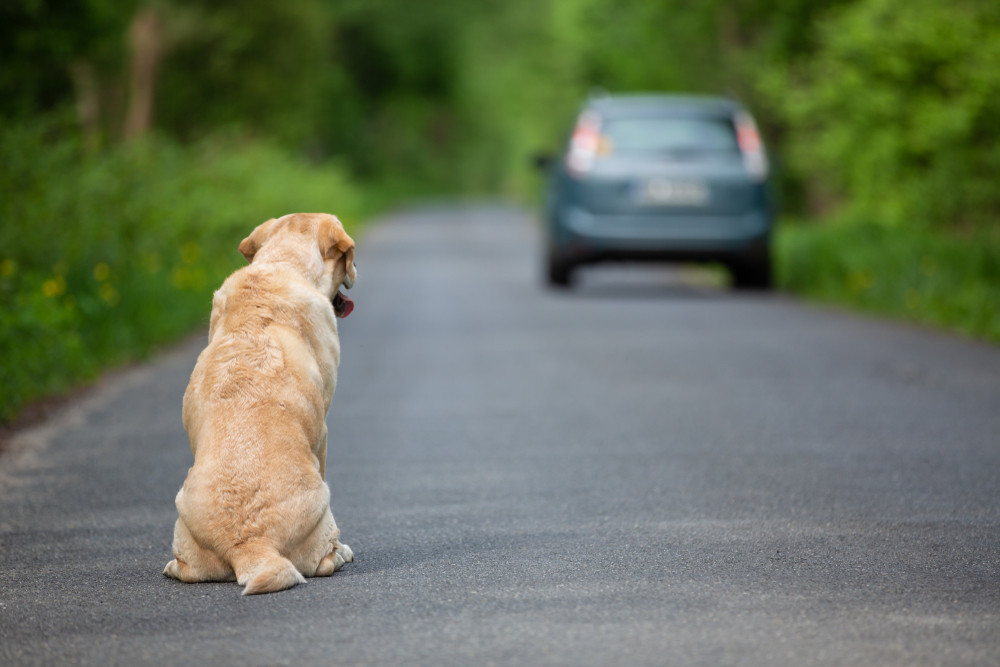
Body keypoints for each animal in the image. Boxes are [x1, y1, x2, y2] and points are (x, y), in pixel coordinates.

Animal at [168, 213, 360, 596]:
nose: (356, 271)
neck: (282, 263)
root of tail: (252, 544)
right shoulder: (324, 431)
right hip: (323, 504)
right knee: (324, 559)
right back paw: (341, 552)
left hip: (183, 516)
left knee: (186, 569)